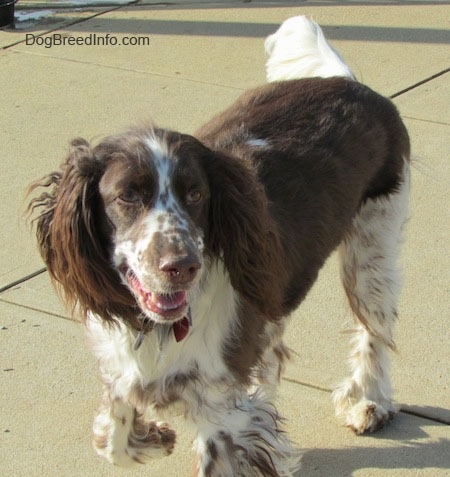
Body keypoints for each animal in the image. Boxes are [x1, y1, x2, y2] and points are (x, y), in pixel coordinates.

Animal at [27, 15, 408, 476]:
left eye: (196, 193)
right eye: (127, 195)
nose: (181, 265)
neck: (154, 330)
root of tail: (348, 83)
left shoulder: (222, 414)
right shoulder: (125, 369)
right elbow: (113, 437)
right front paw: (153, 437)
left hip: (371, 253)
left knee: (374, 331)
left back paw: (370, 401)